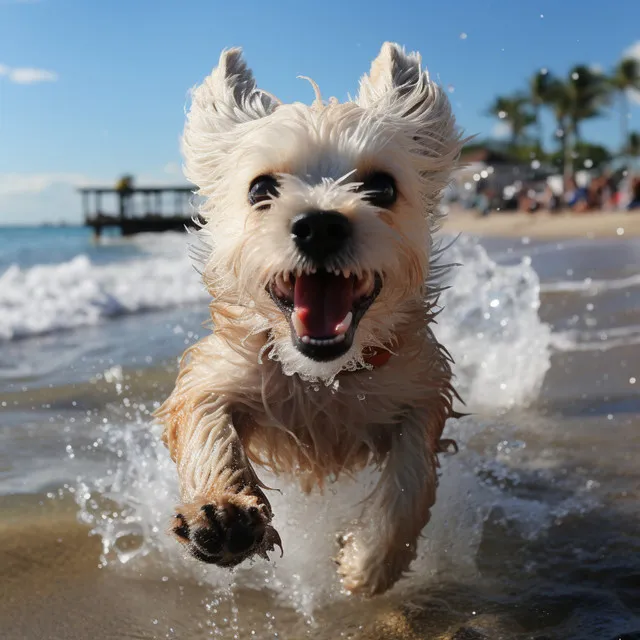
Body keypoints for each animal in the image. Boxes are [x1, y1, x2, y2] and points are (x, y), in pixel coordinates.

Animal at [155, 43, 464, 596]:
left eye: (382, 187)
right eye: (260, 188)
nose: (319, 225)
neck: (322, 378)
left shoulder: (418, 384)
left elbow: (412, 477)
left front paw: (371, 561)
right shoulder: (221, 369)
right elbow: (206, 421)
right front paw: (224, 511)